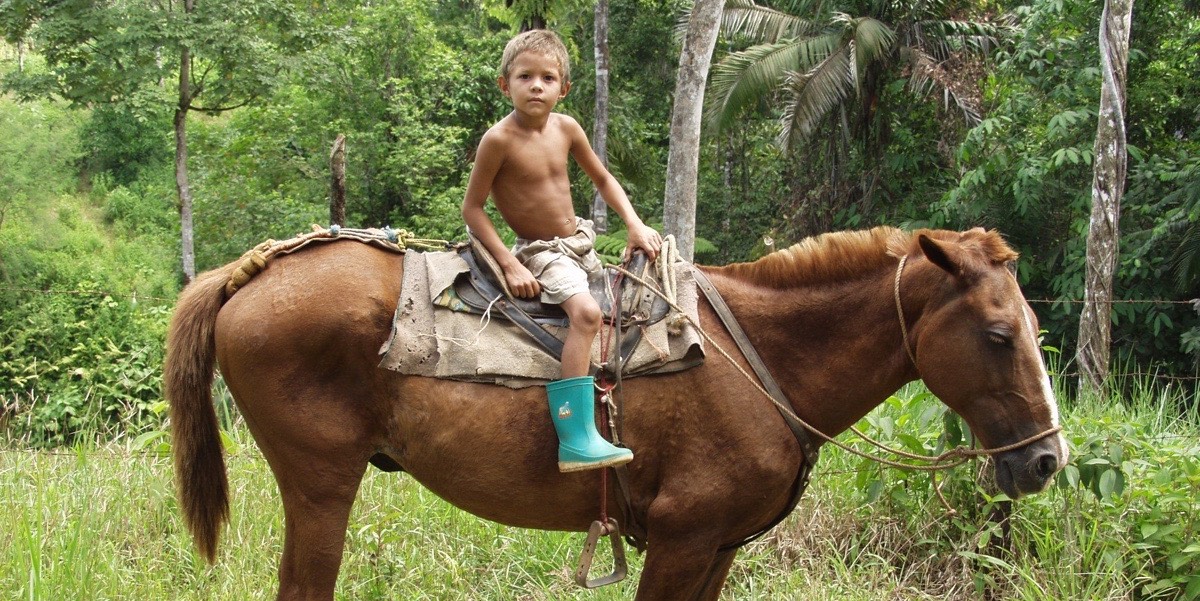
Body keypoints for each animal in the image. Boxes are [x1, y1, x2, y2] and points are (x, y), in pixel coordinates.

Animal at [162, 225, 1070, 599]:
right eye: (997, 335)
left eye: (1033, 327)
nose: (1047, 458)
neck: (759, 361)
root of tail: (250, 272)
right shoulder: (680, 538)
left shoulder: (717, 549)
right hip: (321, 486)